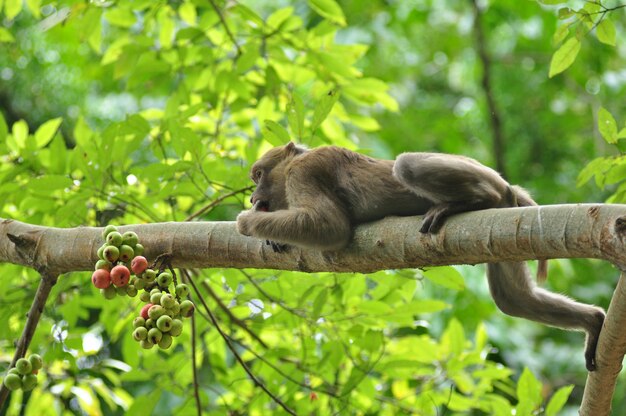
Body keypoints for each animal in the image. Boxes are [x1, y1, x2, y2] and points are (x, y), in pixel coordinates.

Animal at [235, 143, 604, 370]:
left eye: (258, 175)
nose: (253, 198)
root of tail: (505, 186)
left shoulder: (305, 172)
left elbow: (331, 227)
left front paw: (246, 223)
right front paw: (272, 240)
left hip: (482, 181)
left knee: (407, 164)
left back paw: (466, 201)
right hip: (504, 227)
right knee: (512, 298)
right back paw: (594, 321)